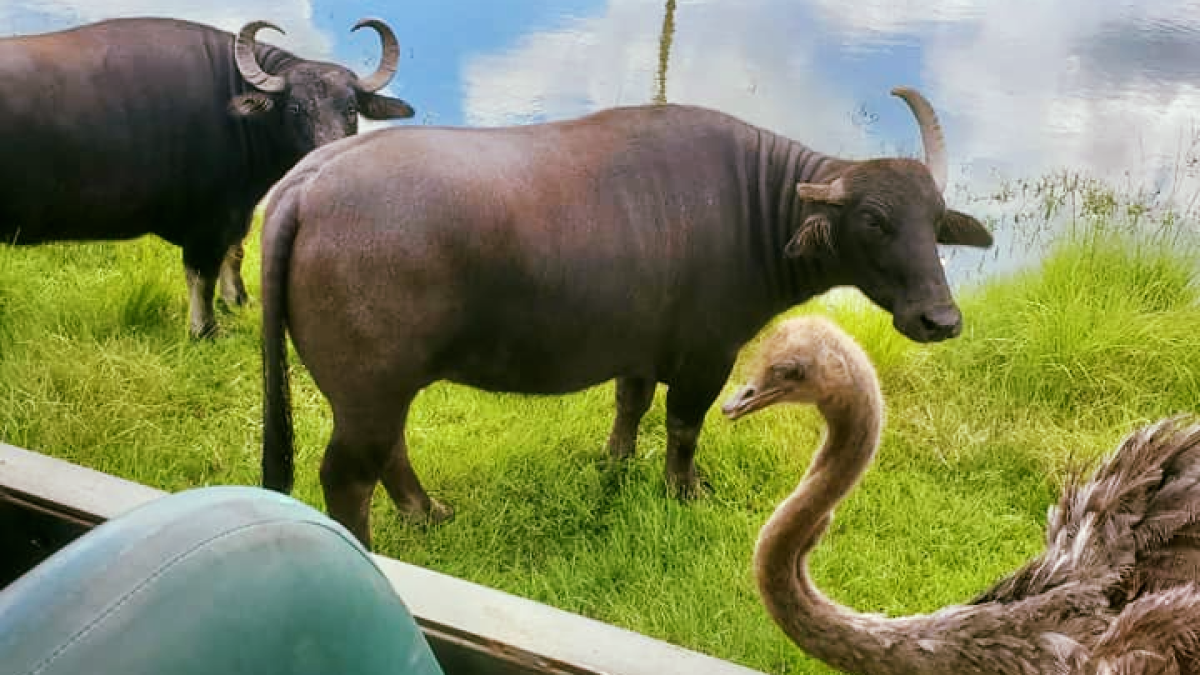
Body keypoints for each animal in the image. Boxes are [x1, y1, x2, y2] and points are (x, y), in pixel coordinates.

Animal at [0, 17, 415, 338]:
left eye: (351, 109)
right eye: (295, 107)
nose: (328, 154)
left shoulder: (237, 211)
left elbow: (235, 252)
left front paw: (239, 301)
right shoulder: (208, 221)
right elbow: (202, 274)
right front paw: (205, 330)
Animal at [260, 87, 994, 548]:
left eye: (934, 220)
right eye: (873, 221)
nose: (939, 318)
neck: (756, 209)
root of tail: (305, 185)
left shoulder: (639, 350)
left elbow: (630, 406)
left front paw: (614, 464)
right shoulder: (708, 356)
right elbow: (685, 426)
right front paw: (685, 490)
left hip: (379, 390)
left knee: (392, 451)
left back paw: (427, 512)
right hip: (370, 389)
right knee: (348, 475)